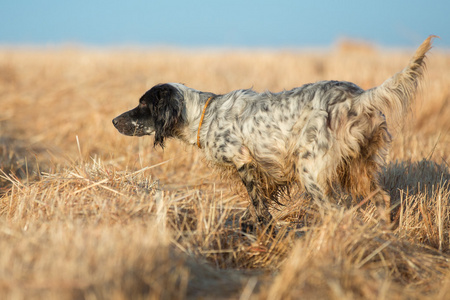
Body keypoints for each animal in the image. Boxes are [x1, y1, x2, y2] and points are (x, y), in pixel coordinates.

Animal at [112, 36, 436, 230]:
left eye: (143, 104)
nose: (114, 121)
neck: (204, 115)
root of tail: (357, 98)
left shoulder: (244, 161)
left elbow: (258, 203)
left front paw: (266, 230)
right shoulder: (266, 171)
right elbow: (260, 202)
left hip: (311, 171)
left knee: (334, 213)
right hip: (359, 169)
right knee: (381, 200)